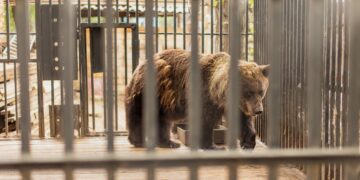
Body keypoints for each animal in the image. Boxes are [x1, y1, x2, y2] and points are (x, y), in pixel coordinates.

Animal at [125, 48, 268, 150]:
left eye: (261, 91)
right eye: (249, 92)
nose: (258, 110)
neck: (218, 93)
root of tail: (139, 66)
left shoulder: (234, 105)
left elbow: (242, 120)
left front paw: (248, 143)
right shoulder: (204, 93)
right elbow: (204, 119)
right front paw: (212, 146)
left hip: (163, 101)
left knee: (162, 120)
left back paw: (169, 142)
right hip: (151, 89)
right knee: (139, 115)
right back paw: (139, 141)